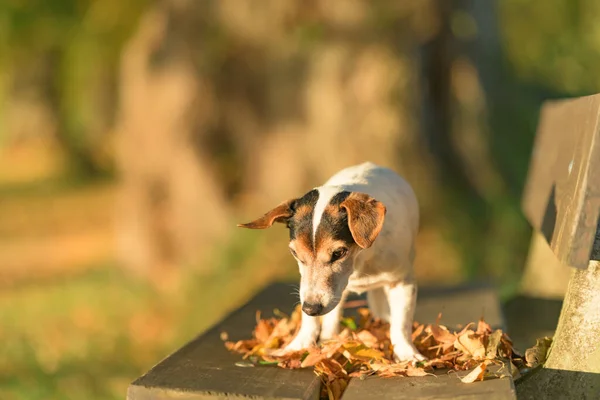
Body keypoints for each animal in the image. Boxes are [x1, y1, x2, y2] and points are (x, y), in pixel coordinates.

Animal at [237, 162, 424, 362]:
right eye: (294, 253)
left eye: (338, 253)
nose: (311, 308)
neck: (359, 261)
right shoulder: (308, 287)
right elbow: (310, 320)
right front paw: (300, 344)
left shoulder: (402, 283)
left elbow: (401, 323)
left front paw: (406, 353)